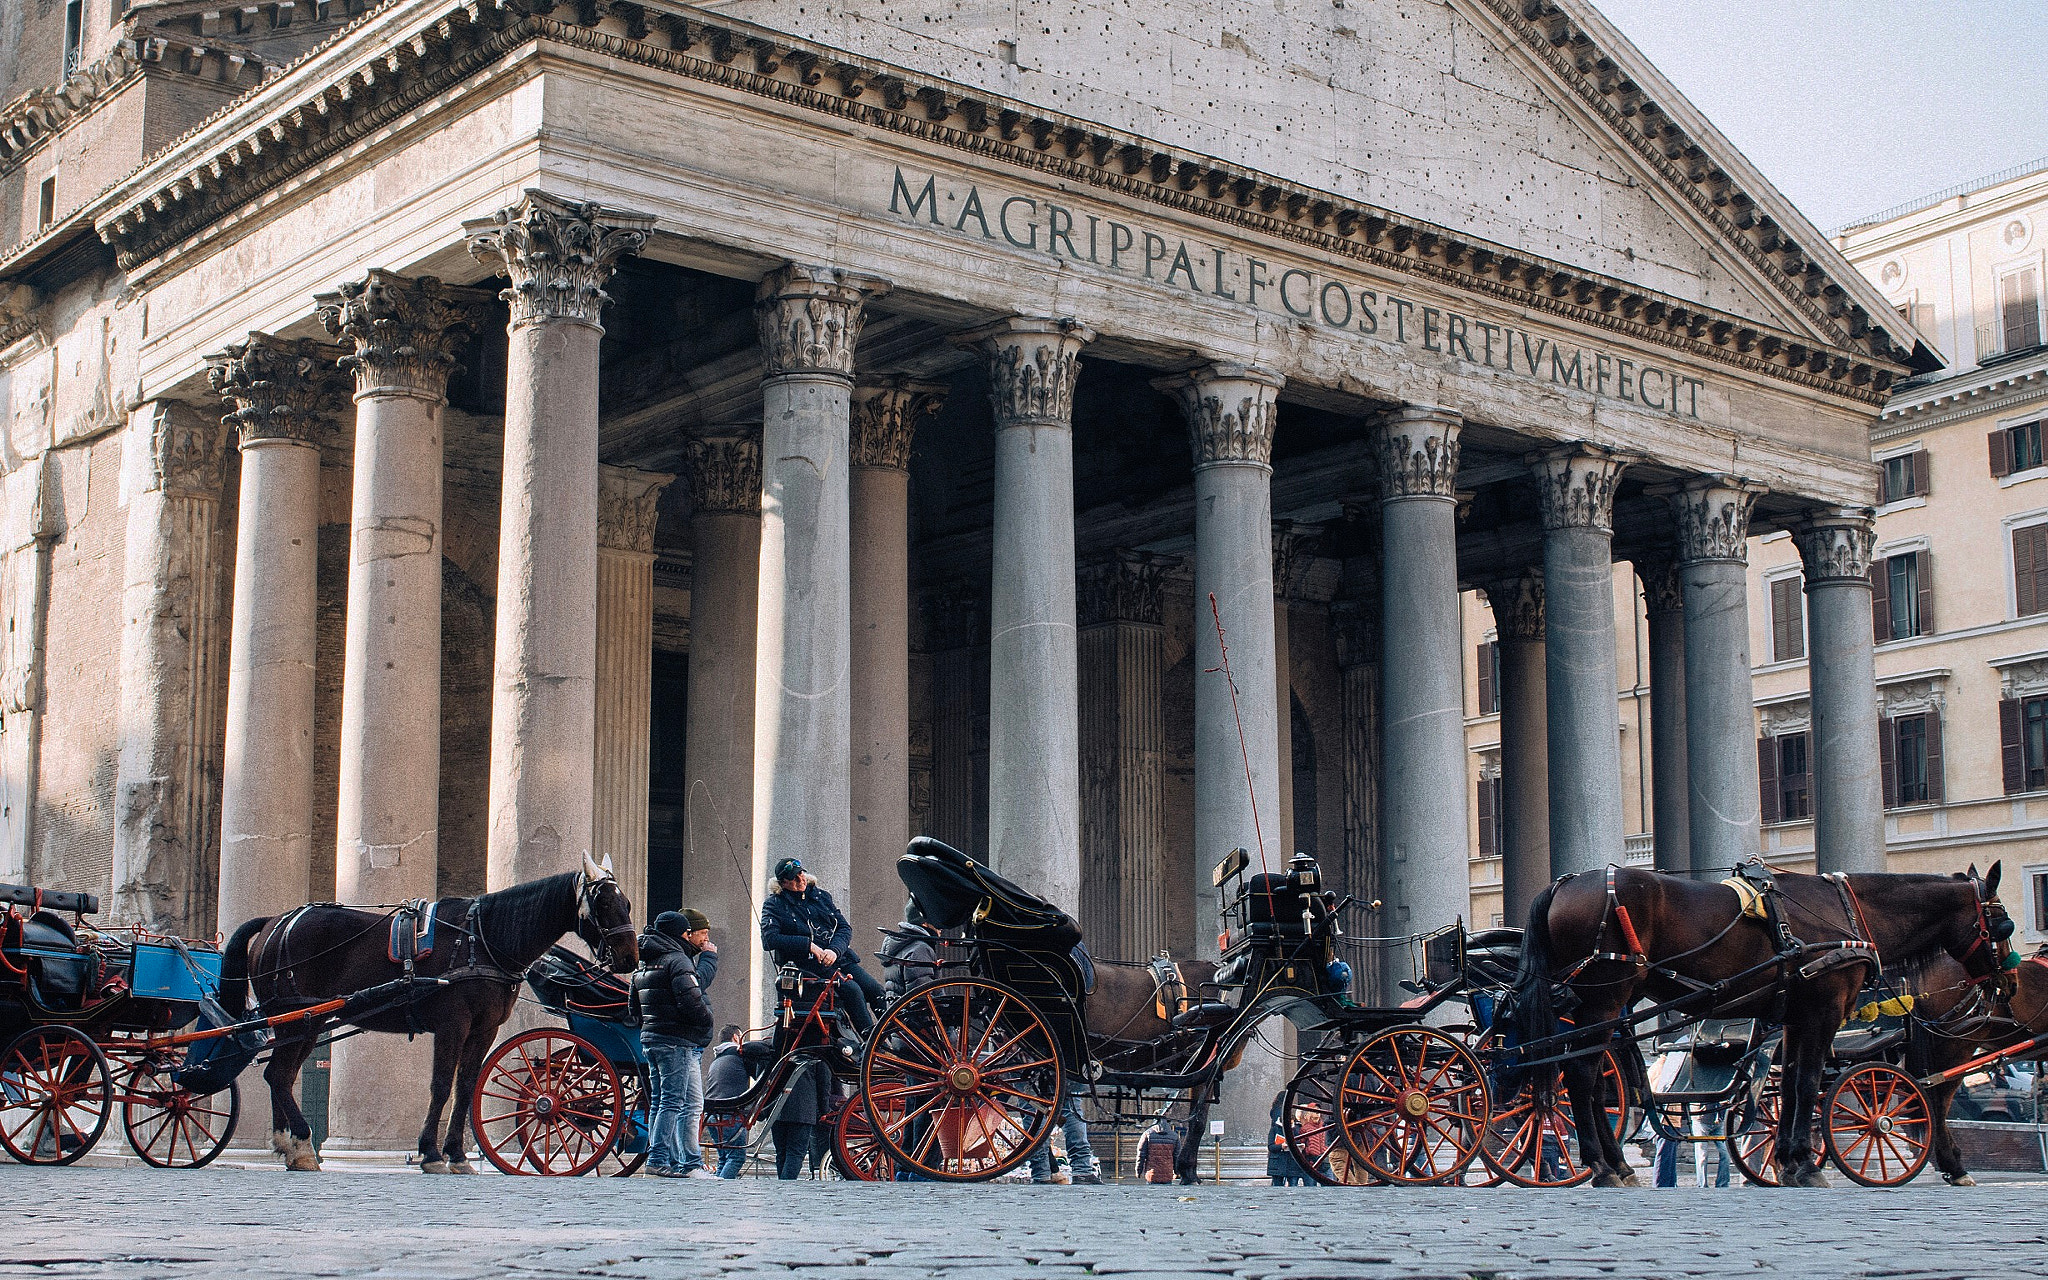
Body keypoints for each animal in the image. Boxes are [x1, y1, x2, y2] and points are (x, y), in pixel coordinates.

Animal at [215, 851, 630, 1171]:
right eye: (604, 904)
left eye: (626, 903)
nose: (629, 956)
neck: (483, 939)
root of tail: (276, 921)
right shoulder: (453, 1024)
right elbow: (441, 1085)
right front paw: (431, 1153)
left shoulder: (484, 1029)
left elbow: (467, 1086)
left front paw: (457, 1154)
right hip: (296, 1017)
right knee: (279, 1074)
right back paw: (300, 1143)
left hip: (305, 1021)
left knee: (279, 1075)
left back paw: (288, 1146)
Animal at [1515, 864, 2007, 1179]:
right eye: (2002, 925)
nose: (2005, 981)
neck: (1846, 913)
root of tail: (1564, 884)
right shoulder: (1825, 1009)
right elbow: (1808, 1083)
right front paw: (1807, 1163)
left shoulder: (1795, 1017)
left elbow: (1788, 1085)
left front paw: (1789, 1159)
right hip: (1606, 997)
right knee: (1581, 1074)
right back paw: (1601, 1164)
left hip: (1602, 1004)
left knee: (1594, 1075)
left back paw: (1616, 1163)